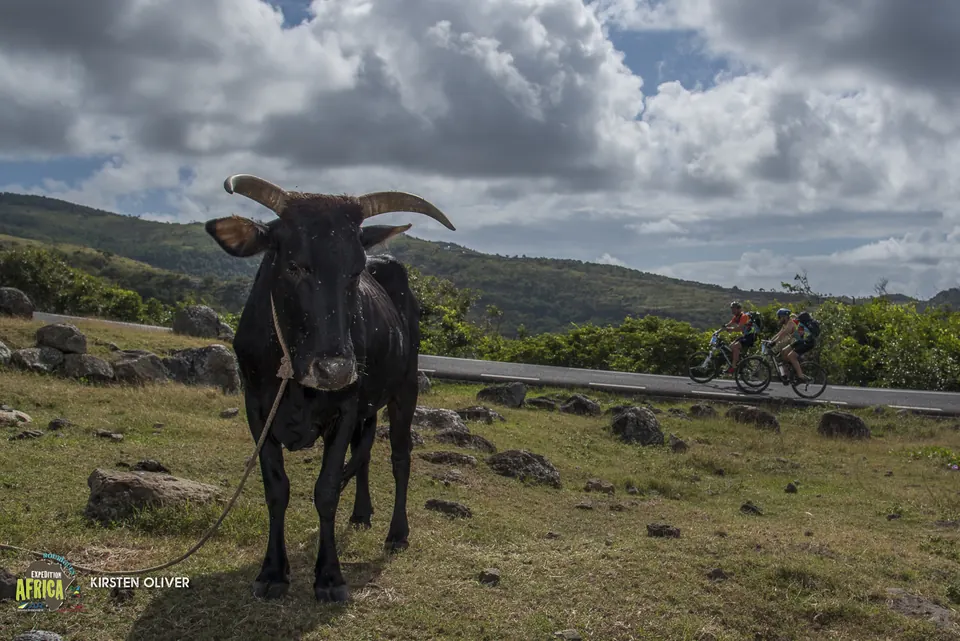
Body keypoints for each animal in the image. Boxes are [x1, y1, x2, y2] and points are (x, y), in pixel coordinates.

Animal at [203, 174, 455, 603]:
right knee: (365, 453)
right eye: (293, 265)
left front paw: (330, 577)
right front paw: (273, 571)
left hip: (405, 390)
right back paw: (361, 513)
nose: (336, 369)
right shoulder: (257, 409)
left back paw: (397, 533)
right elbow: (276, 488)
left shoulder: (345, 409)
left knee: (399, 457)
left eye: (355, 271)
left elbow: (326, 490)